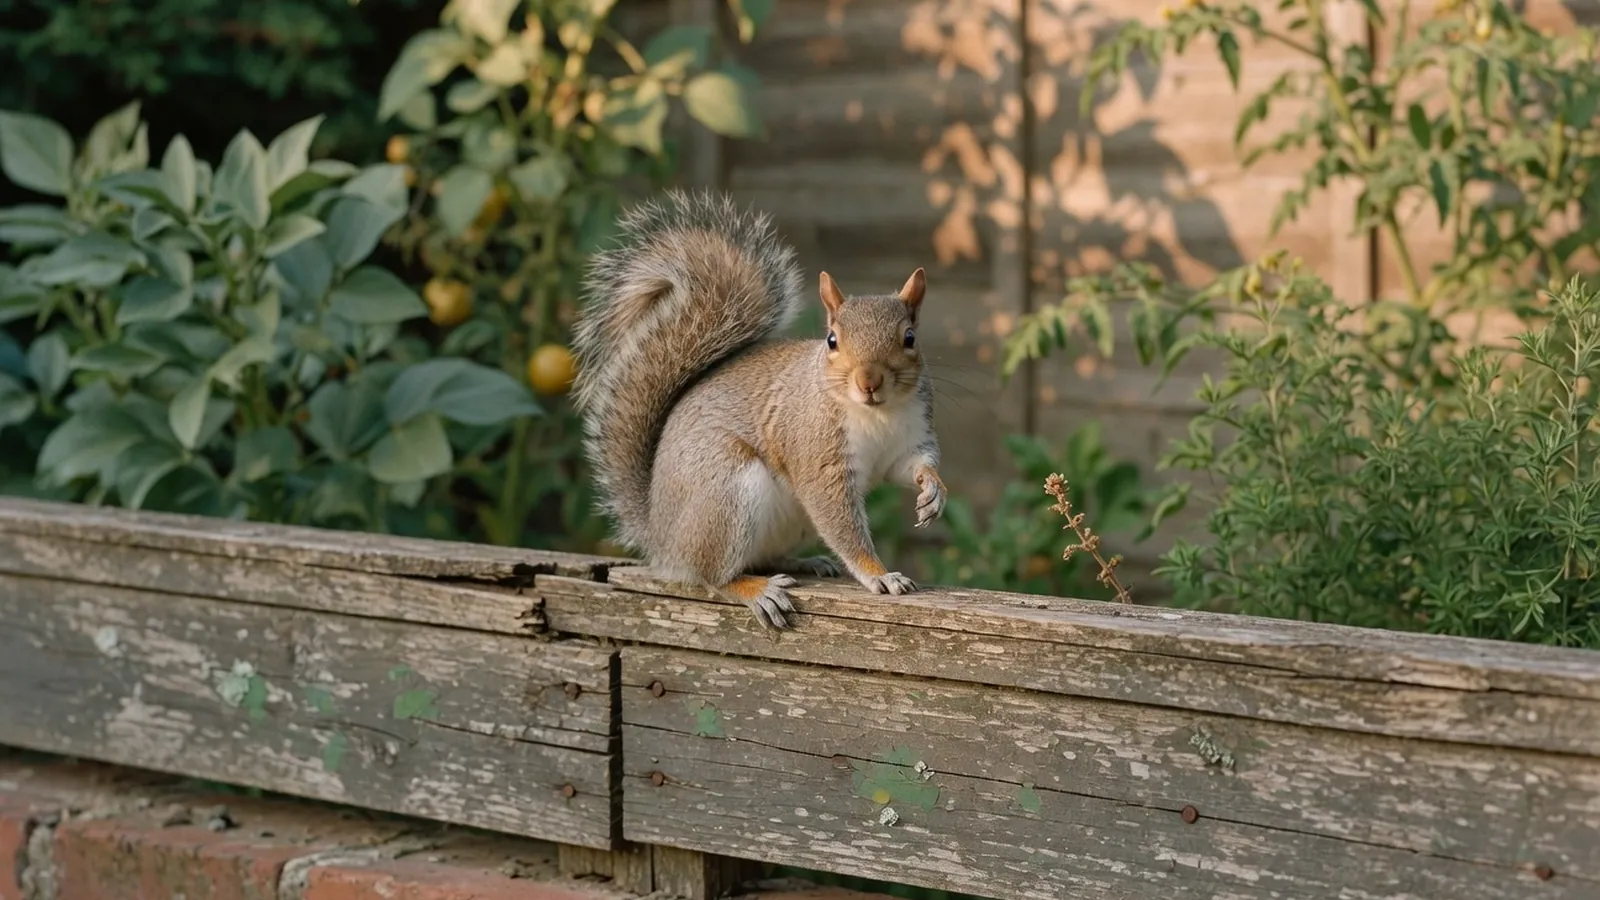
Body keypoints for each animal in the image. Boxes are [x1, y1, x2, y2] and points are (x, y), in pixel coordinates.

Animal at [570, 188, 947, 629]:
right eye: (832, 340)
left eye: (910, 338)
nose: (868, 382)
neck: (877, 415)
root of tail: (662, 540)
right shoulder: (816, 451)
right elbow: (841, 523)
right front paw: (879, 575)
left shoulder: (907, 436)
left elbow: (910, 466)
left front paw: (932, 490)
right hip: (726, 495)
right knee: (712, 575)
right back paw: (756, 590)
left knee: (762, 557)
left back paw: (803, 563)